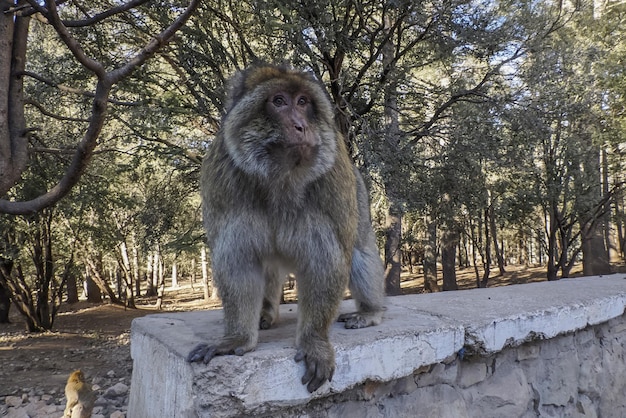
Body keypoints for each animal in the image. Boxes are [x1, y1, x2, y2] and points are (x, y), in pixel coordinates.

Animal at [185, 62, 382, 392]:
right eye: (278, 101)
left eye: (303, 102)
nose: (302, 126)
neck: (281, 176)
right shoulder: (220, 178)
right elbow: (239, 260)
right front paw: (236, 337)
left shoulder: (334, 178)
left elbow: (326, 261)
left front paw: (314, 341)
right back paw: (265, 313)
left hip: (358, 202)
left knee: (358, 253)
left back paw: (371, 312)